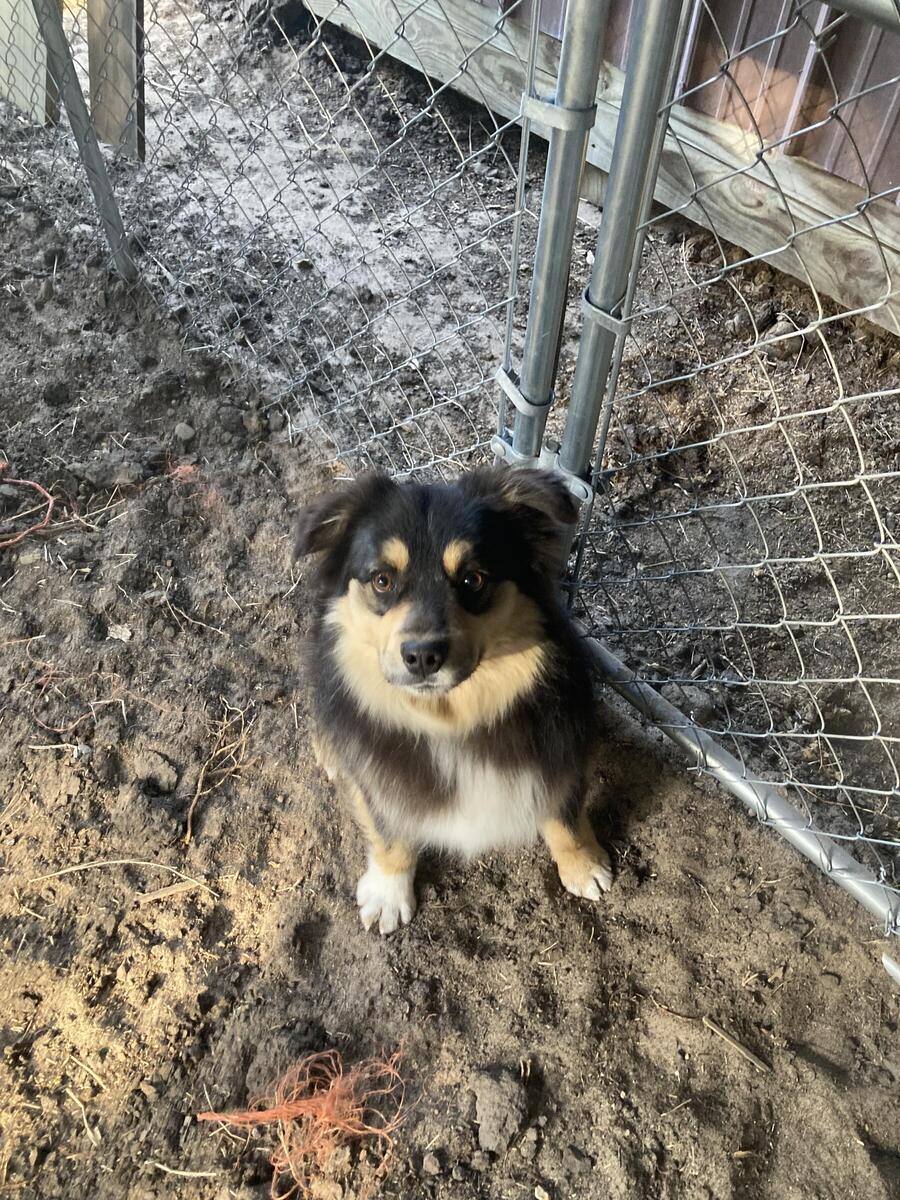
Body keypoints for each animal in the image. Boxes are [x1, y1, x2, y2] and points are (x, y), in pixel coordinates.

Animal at [296, 463, 614, 931]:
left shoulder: (561, 748)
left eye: (473, 578)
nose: (422, 656)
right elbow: (389, 827)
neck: (449, 718)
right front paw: (389, 890)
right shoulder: (380, 776)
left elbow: (564, 812)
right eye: (382, 580)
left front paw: (582, 864)